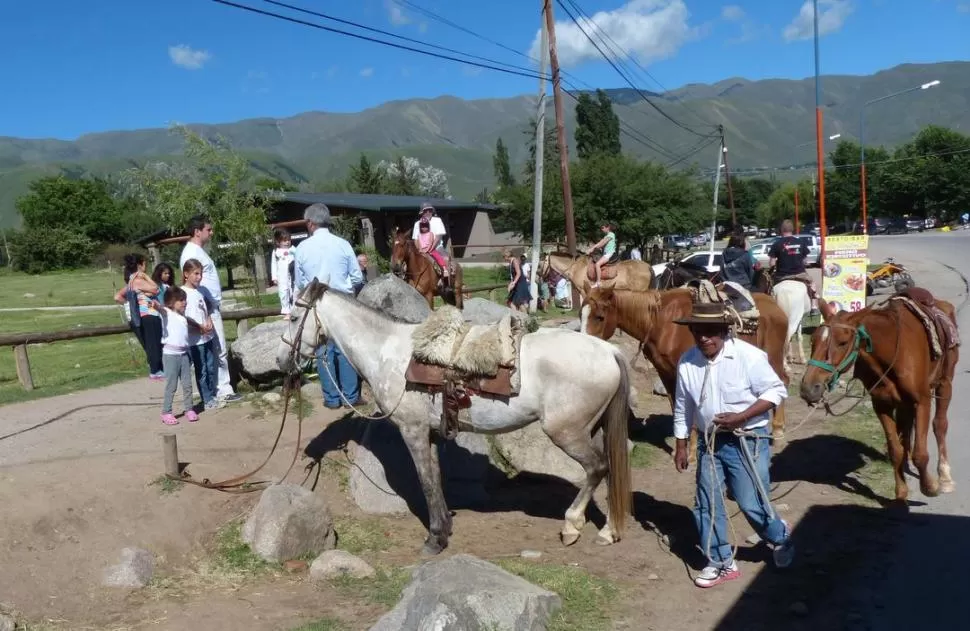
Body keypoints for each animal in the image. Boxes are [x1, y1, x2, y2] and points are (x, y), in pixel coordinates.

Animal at [276, 278, 632, 556]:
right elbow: (436, 478)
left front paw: (435, 539)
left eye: (293, 317)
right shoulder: (432, 432)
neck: (388, 353)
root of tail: (609, 351)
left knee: (597, 468)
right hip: (591, 428)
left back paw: (573, 526)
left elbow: (425, 481)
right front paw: (444, 527)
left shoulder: (413, 430)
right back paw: (607, 530)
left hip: (566, 432)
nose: (281, 360)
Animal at [580, 286, 792, 440]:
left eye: (599, 317)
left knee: (782, 381)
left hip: (773, 356)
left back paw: (778, 428)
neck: (662, 322)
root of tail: (776, 307)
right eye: (581, 315)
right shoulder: (665, 372)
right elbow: (676, 407)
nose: (583, 343)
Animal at [796, 296, 956, 504]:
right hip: (904, 403)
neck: (892, 351)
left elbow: (921, 454)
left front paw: (930, 487)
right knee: (905, 430)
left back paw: (945, 478)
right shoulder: (882, 405)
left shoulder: (922, 401)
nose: (808, 388)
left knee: (940, 424)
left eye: (842, 342)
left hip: (945, 383)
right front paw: (901, 493)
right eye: (813, 340)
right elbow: (895, 450)